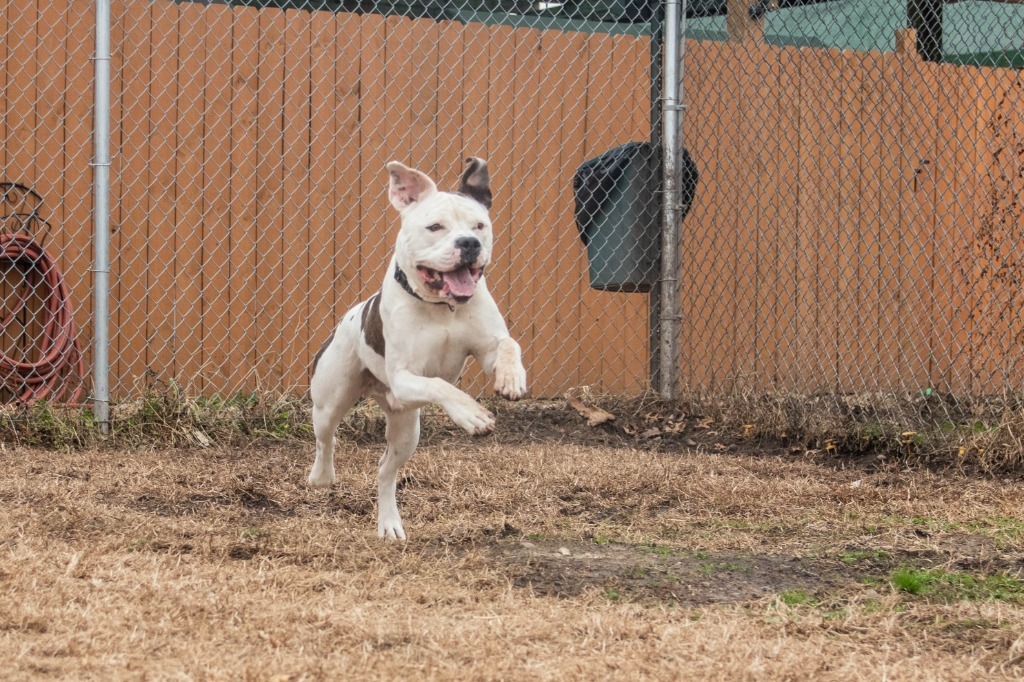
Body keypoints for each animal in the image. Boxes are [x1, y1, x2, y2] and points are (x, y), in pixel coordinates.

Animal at [305, 156, 528, 540]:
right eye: (435, 227)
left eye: (479, 225)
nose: (469, 242)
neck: (442, 306)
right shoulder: (404, 377)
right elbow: (441, 386)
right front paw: (472, 415)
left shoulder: (487, 347)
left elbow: (508, 345)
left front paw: (511, 379)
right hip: (331, 399)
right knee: (326, 438)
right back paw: (321, 476)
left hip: (407, 429)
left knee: (385, 471)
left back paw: (389, 523)